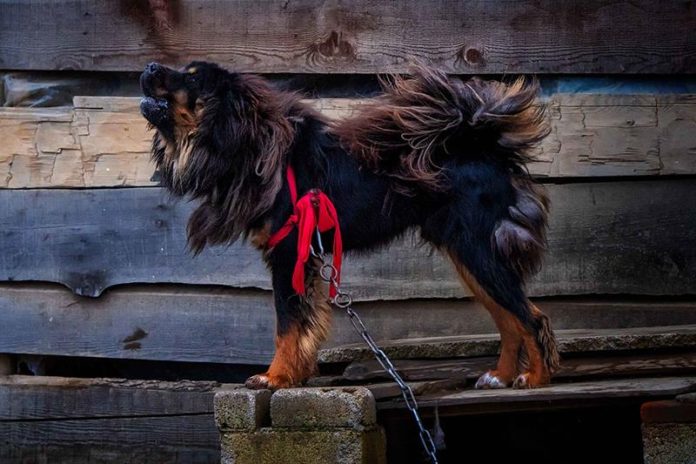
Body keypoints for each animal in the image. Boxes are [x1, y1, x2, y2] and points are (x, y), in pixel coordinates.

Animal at [140, 60, 560, 388]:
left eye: (193, 79)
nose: (149, 67)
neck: (247, 142)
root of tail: (481, 144)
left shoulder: (289, 253)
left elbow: (286, 325)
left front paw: (275, 378)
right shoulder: (305, 258)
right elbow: (305, 323)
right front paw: (297, 376)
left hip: (477, 251)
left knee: (530, 317)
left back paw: (536, 379)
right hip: (468, 255)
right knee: (510, 319)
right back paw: (500, 376)